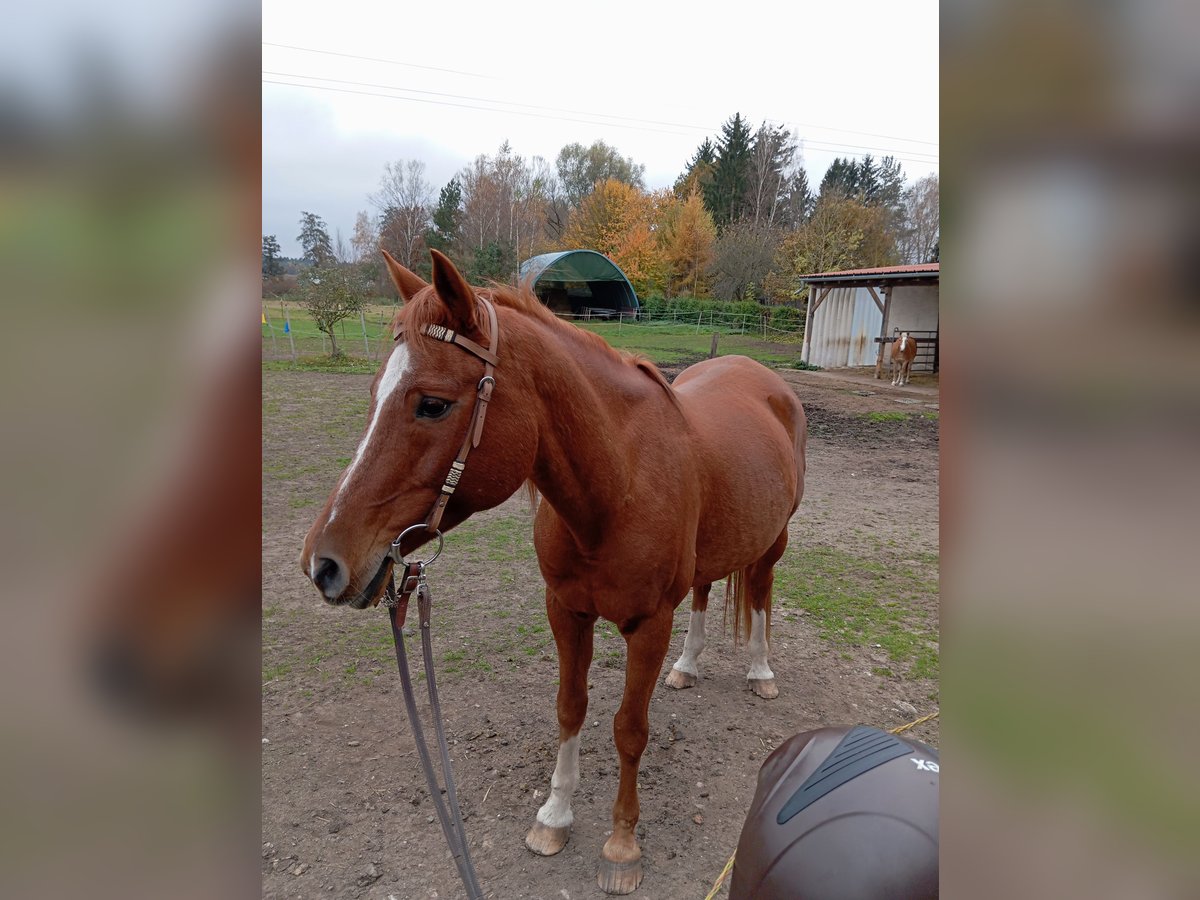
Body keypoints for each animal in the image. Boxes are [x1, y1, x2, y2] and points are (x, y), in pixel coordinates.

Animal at [300, 250, 806, 897]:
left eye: (432, 403)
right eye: (372, 393)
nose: (323, 564)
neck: (619, 486)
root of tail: (763, 377)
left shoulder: (649, 626)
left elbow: (629, 728)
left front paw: (621, 845)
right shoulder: (566, 611)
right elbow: (570, 706)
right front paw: (555, 815)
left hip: (774, 542)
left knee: (761, 595)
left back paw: (761, 671)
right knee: (702, 590)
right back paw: (688, 667)